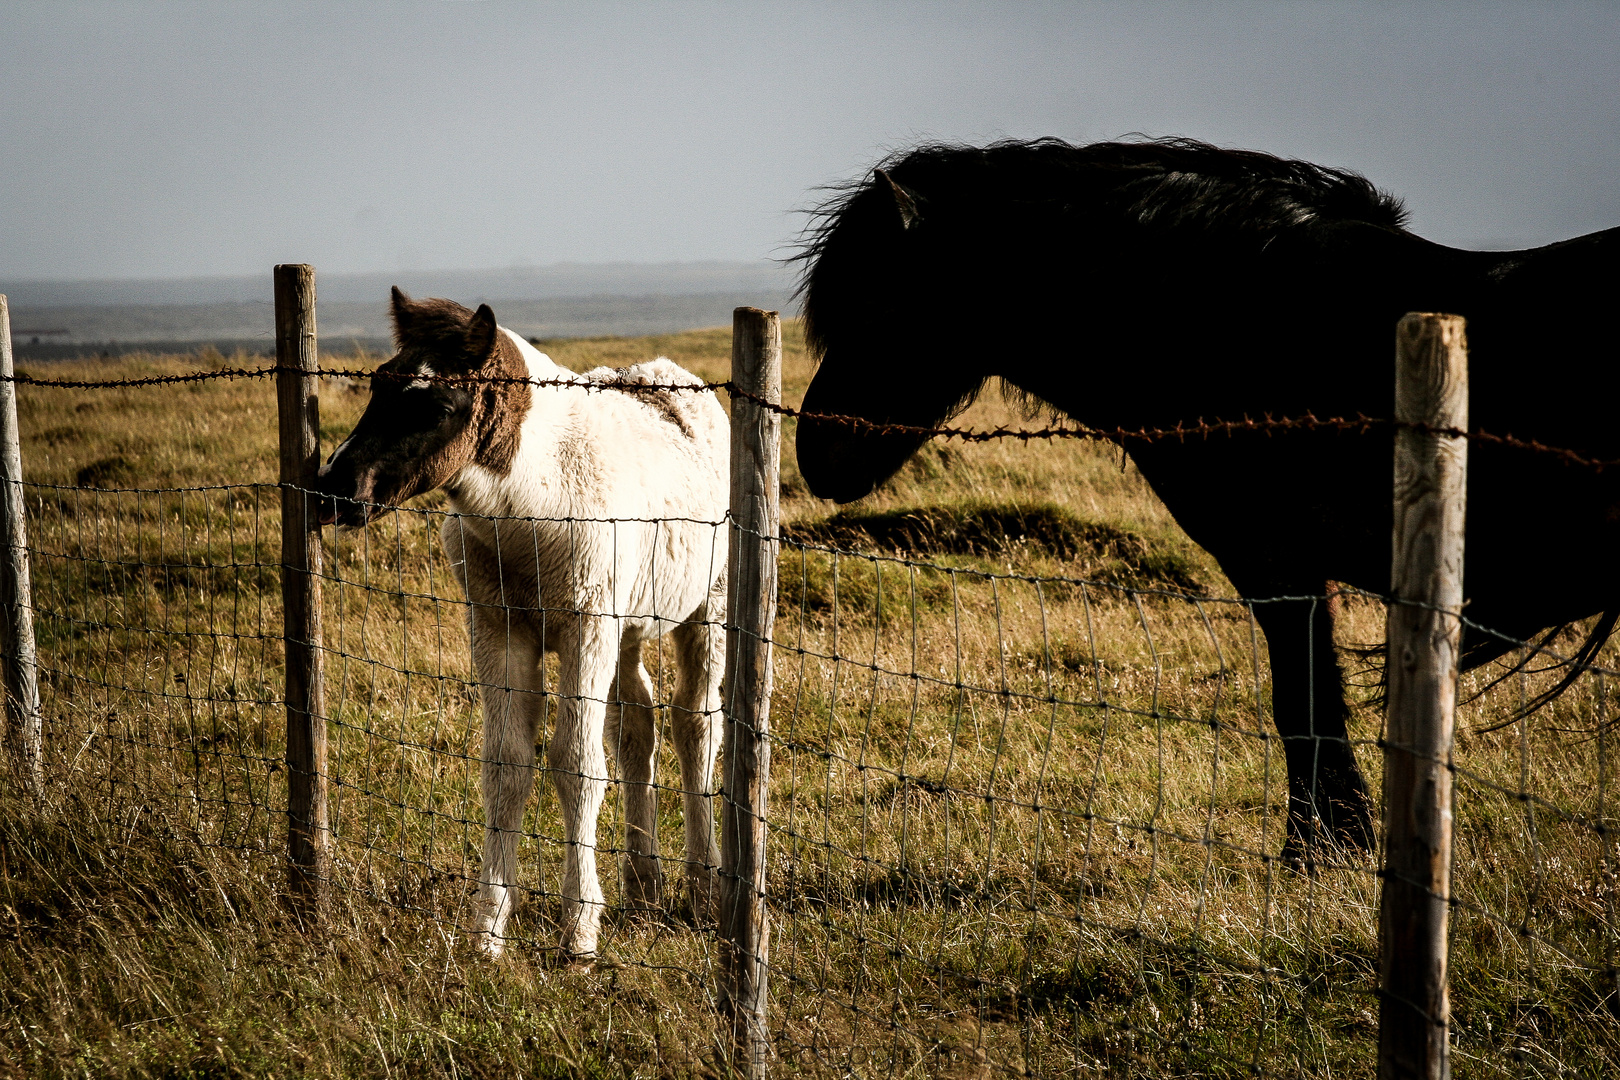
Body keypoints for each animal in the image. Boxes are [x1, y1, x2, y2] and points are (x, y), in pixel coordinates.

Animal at [312, 289, 725, 965]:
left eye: (437, 405)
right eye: (376, 384)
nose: (335, 492)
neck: (532, 509)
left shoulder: (585, 626)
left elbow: (577, 761)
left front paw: (579, 932)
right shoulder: (499, 629)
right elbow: (507, 765)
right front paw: (487, 930)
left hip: (703, 610)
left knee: (695, 724)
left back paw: (707, 887)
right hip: (626, 629)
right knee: (638, 726)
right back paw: (643, 885)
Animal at [793, 139, 1620, 854]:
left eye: (875, 304)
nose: (814, 455)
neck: (1235, 318)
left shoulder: (1277, 564)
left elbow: (1305, 703)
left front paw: (1319, 851)